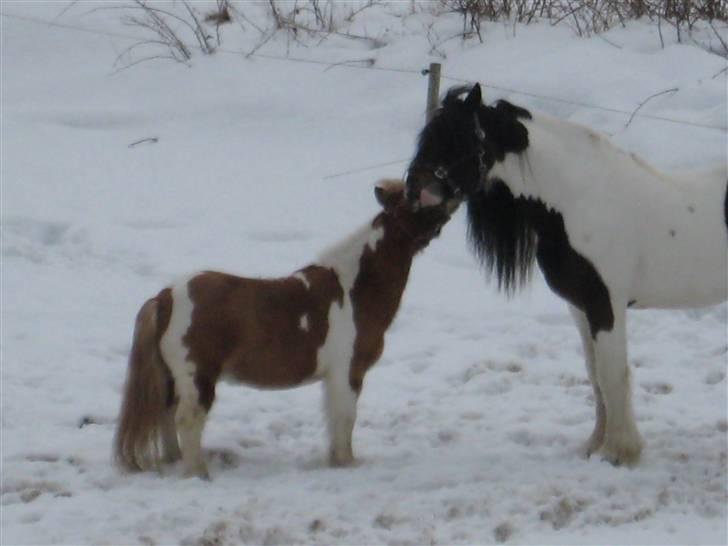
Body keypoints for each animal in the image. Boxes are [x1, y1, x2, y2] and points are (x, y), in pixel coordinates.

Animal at [114, 180, 458, 476]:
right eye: (415, 200)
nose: (452, 197)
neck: (354, 289)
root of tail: (165, 298)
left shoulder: (333, 378)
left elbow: (335, 420)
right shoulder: (348, 373)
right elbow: (345, 420)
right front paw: (347, 463)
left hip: (173, 379)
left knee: (166, 417)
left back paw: (174, 461)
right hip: (198, 379)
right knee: (186, 421)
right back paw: (198, 473)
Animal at [406, 83, 724, 466]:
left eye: (457, 137)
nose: (413, 191)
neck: (580, 200)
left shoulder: (606, 306)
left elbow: (612, 374)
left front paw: (619, 452)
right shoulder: (580, 307)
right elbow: (595, 375)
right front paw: (594, 445)